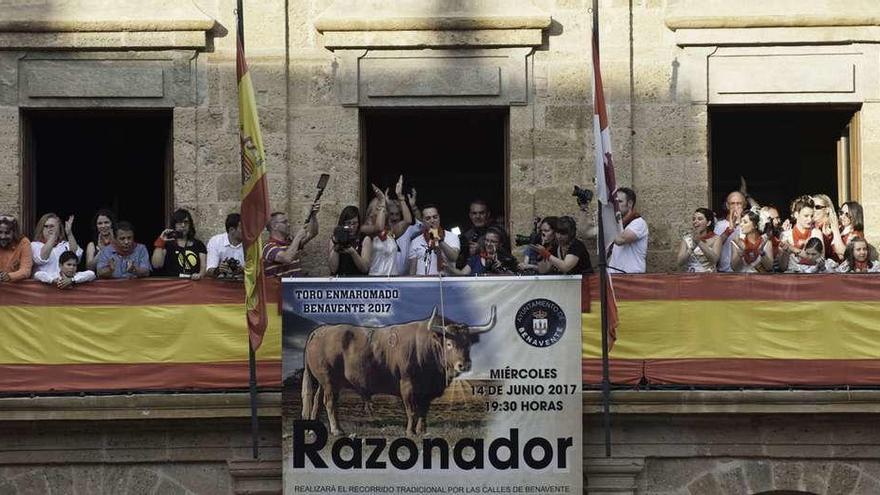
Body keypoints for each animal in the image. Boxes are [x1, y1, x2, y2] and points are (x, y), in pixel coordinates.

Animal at [300, 306, 496, 438]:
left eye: (468, 344)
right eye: (449, 344)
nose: (464, 365)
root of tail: (322, 329)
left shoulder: (427, 391)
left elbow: (423, 411)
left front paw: (422, 430)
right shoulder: (407, 384)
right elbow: (412, 410)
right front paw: (410, 432)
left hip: (322, 382)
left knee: (316, 400)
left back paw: (312, 429)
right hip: (329, 381)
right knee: (329, 403)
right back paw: (337, 430)